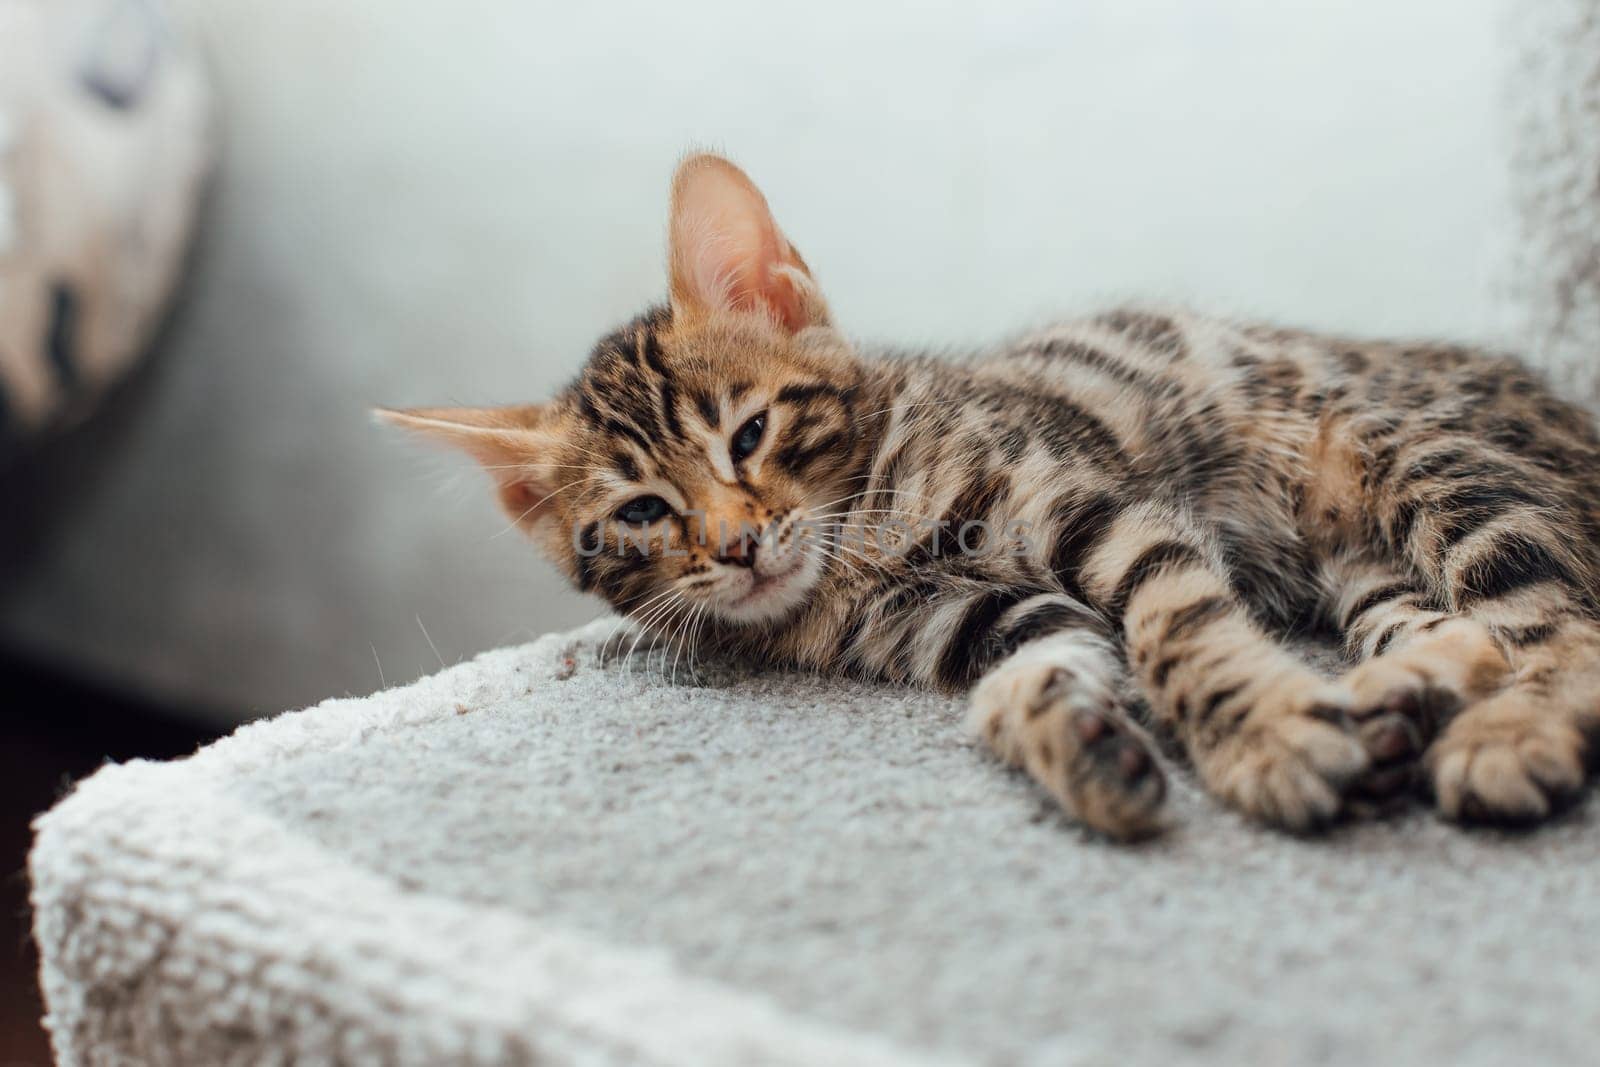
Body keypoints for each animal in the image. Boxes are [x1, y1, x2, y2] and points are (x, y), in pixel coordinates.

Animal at [387, 154, 1600, 844]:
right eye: (642, 513)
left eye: (749, 433)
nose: (735, 548)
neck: (859, 550)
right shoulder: (975, 616)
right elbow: (1031, 670)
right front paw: (1076, 739)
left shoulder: (1093, 505)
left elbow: (1177, 623)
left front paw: (1258, 736)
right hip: (1360, 557)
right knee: (1456, 627)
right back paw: (1407, 692)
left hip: (1397, 446)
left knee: (1559, 625)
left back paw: (1512, 730)